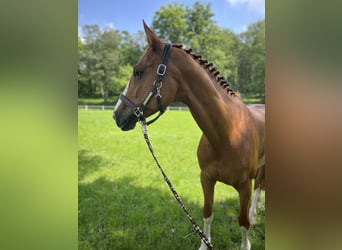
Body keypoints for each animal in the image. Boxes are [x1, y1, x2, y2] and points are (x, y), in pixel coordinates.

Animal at [113, 22, 266, 250]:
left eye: (138, 72)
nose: (116, 114)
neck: (227, 136)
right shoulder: (206, 179)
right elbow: (207, 213)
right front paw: (204, 244)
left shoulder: (244, 186)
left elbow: (242, 222)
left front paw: (246, 243)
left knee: (259, 189)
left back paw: (254, 215)